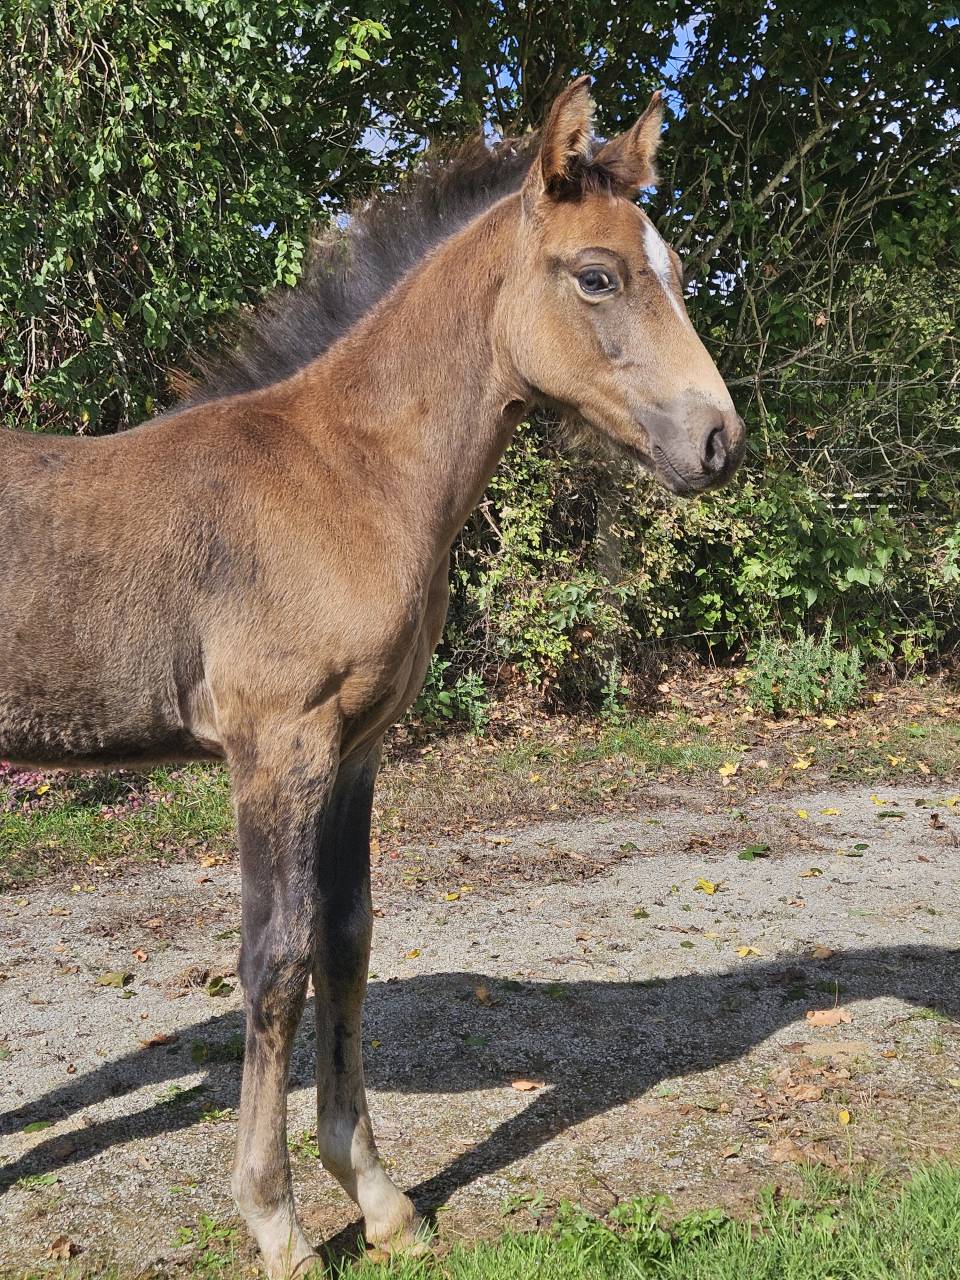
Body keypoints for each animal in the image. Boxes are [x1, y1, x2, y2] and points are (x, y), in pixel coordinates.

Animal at [0, 76, 743, 1276]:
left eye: (675, 270)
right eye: (598, 274)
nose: (720, 441)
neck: (348, 472)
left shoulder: (356, 746)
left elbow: (346, 941)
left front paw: (381, 1195)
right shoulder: (277, 745)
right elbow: (276, 960)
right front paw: (278, 1220)